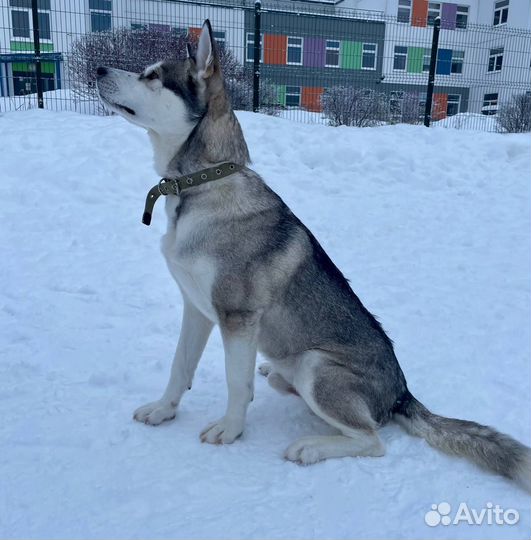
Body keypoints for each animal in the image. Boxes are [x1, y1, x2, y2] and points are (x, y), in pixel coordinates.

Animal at [96, 21, 531, 490]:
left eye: (154, 76)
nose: (98, 68)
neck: (202, 185)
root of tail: (401, 392)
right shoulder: (196, 308)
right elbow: (180, 367)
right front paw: (164, 410)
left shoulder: (236, 317)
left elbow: (235, 384)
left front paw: (230, 430)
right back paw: (273, 376)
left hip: (316, 366)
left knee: (372, 439)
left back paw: (312, 447)